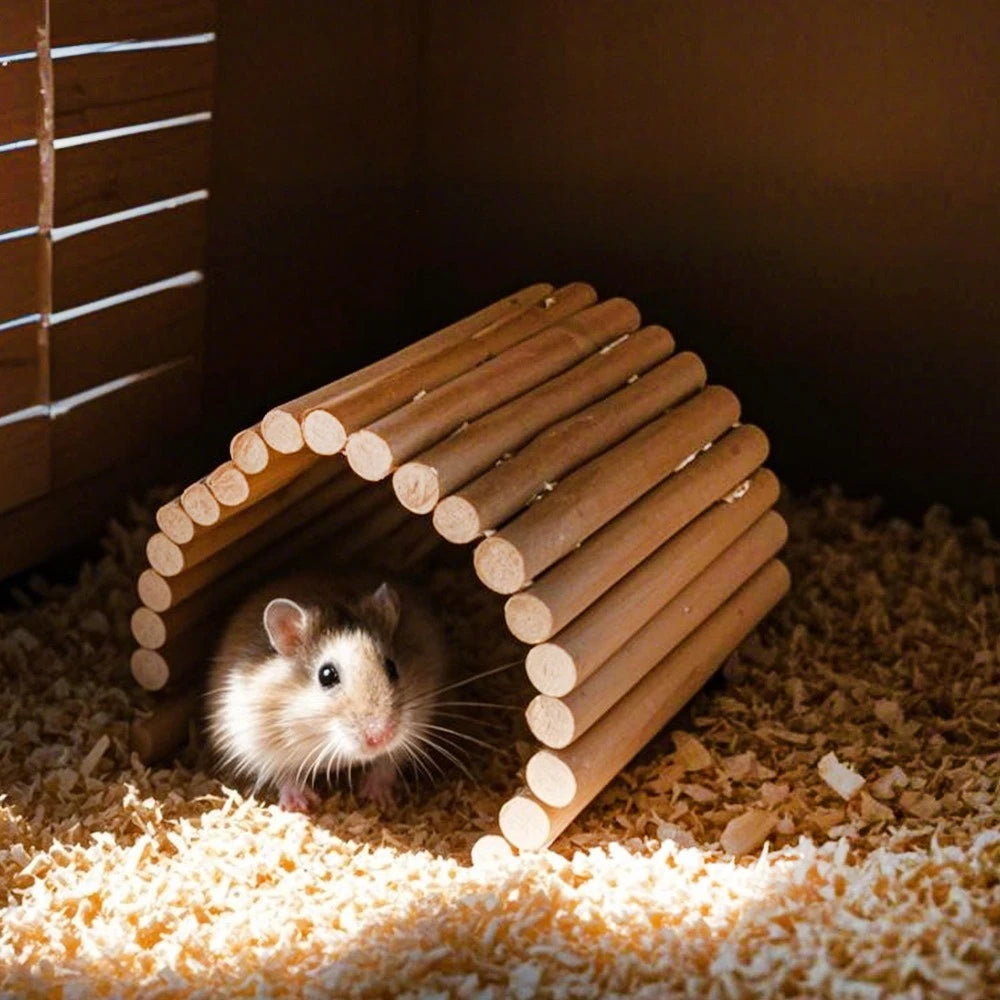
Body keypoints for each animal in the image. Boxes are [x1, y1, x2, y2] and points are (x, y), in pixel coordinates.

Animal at [204, 569, 449, 813]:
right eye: (326, 675)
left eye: (392, 668)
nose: (381, 738)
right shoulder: (253, 741)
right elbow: (283, 774)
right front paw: (300, 805)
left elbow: (387, 762)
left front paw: (377, 798)